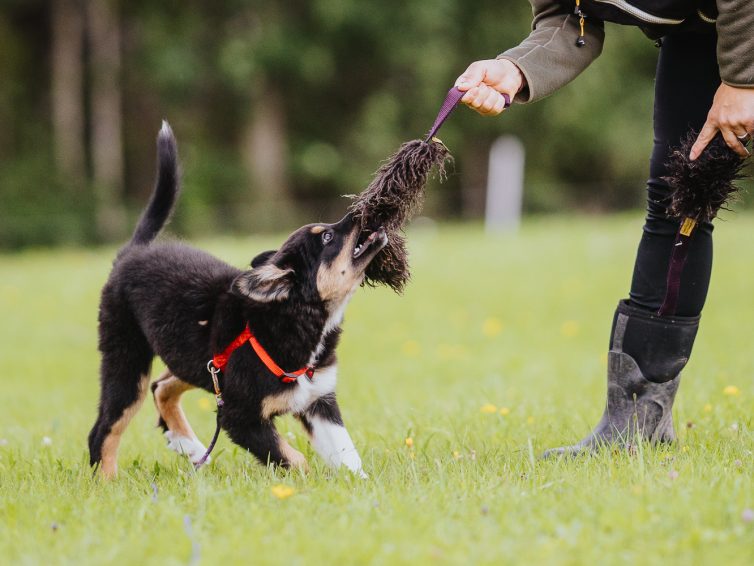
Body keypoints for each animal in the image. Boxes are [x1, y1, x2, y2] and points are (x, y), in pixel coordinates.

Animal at [87, 124, 382, 480]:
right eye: (327, 237)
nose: (361, 209)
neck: (299, 321)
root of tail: (132, 252)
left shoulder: (318, 400)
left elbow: (346, 452)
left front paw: (360, 484)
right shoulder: (241, 417)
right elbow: (293, 458)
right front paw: (307, 483)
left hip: (198, 363)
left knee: (162, 386)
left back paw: (188, 445)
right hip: (127, 361)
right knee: (106, 426)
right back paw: (107, 481)